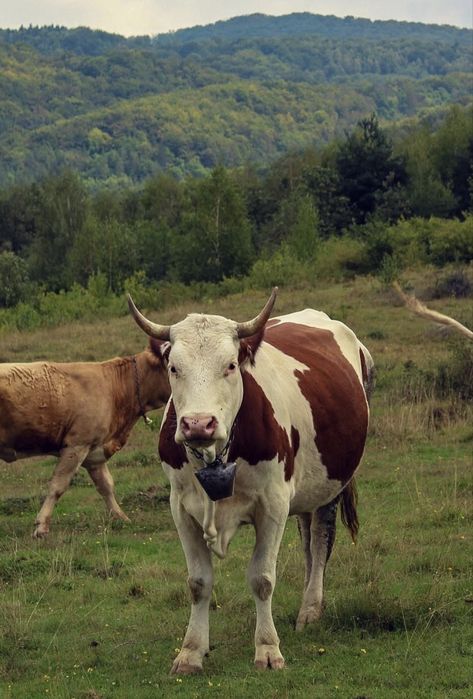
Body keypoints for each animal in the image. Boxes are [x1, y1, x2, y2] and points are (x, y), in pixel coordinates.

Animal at [0, 342, 170, 537]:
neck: (114, 386)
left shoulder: (94, 449)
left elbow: (106, 485)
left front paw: (120, 517)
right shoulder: (77, 445)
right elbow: (58, 485)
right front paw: (41, 526)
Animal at [128, 289, 374, 673]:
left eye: (230, 365)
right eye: (173, 367)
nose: (198, 424)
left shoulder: (273, 504)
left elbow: (262, 578)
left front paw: (268, 648)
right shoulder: (180, 508)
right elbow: (198, 582)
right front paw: (191, 651)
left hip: (333, 482)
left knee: (321, 539)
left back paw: (310, 609)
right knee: (307, 539)